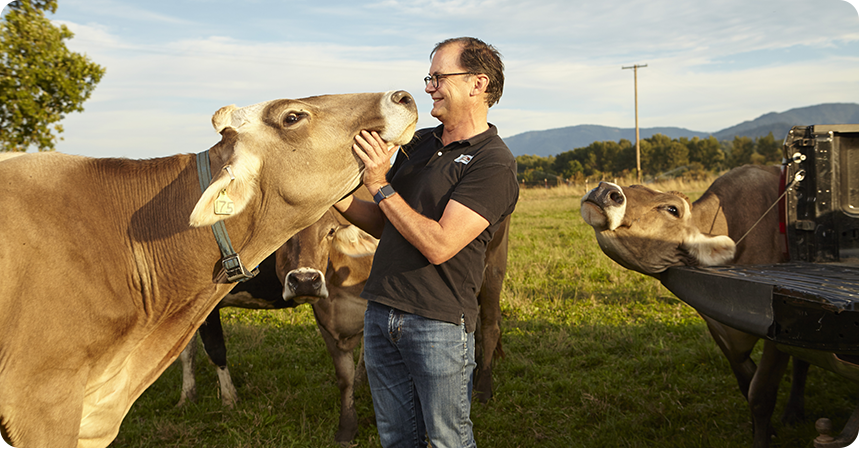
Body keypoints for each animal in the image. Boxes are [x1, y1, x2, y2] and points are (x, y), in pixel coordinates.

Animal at [0, 90, 416, 446]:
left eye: (331, 230)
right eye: (292, 116)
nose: (403, 97)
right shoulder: (46, 404)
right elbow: (208, 349)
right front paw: (202, 397)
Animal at [580, 164, 808, 446]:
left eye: (672, 209)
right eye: (633, 186)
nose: (604, 190)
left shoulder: (778, 334)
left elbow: (761, 395)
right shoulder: (719, 329)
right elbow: (747, 384)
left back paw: (794, 412)